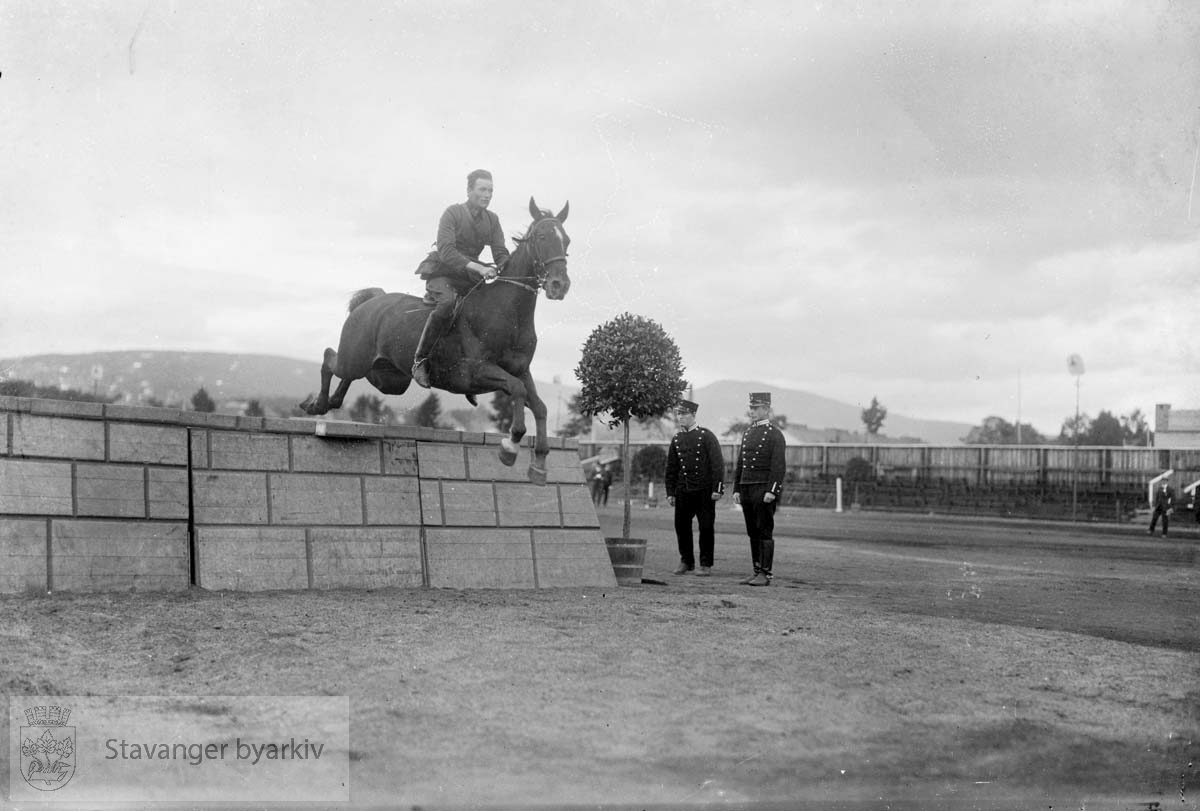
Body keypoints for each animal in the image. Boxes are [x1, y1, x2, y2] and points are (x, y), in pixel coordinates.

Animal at [295, 197, 566, 482]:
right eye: (542, 236)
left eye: (567, 241)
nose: (559, 285)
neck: (508, 313)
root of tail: (370, 302)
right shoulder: (476, 371)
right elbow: (517, 389)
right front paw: (509, 448)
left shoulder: (521, 370)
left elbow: (539, 406)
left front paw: (539, 465)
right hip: (356, 359)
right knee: (329, 358)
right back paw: (316, 404)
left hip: (388, 378)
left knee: (349, 375)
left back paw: (330, 402)